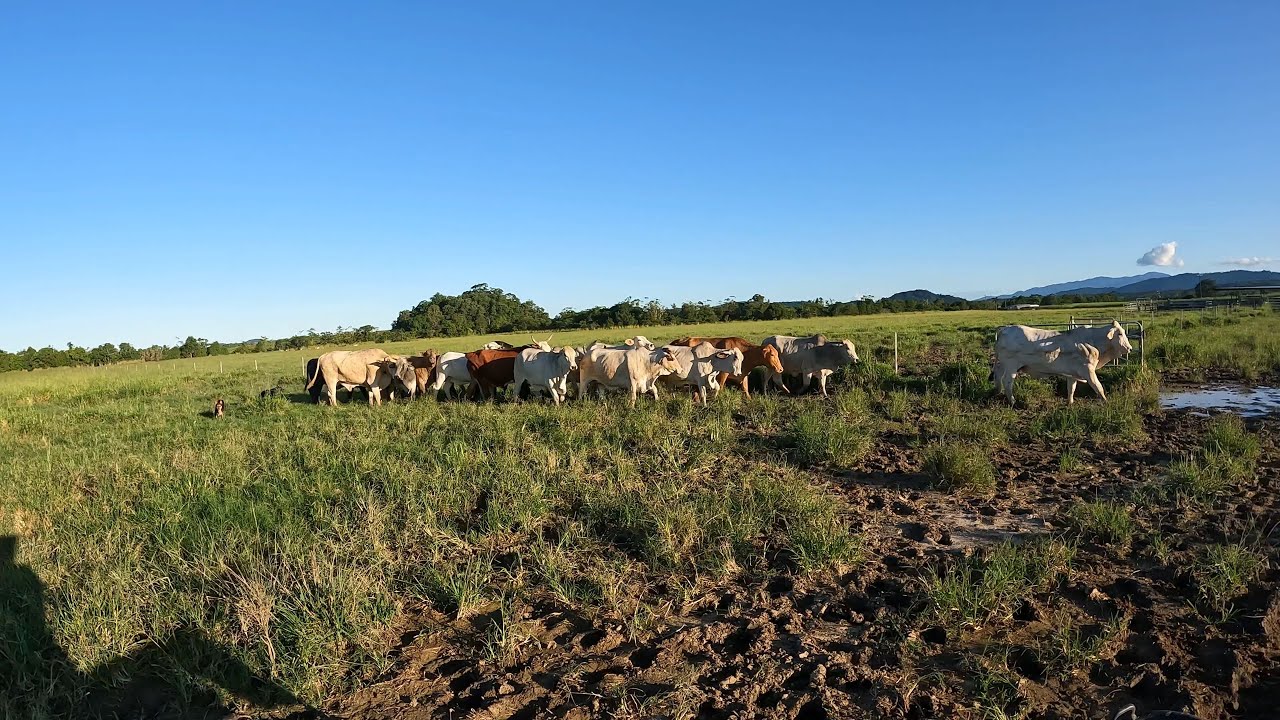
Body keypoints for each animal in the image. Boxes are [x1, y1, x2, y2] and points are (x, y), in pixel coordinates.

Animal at [993, 321, 1131, 404]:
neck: (1094, 341)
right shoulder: (1088, 370)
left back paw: (998, 392)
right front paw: (1106, 402)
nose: (1130, 348)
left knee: (997, 375)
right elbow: (1098, 387)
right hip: (1011, 366)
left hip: (1003, 364)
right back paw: (1012, 401)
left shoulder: (1073, 373)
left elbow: (1071, 388)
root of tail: (1005, 329)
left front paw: (1070, 403)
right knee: (1007, 381)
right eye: (1120, 333)